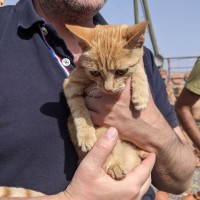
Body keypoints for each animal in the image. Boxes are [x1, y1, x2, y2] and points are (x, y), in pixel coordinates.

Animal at [0, 21, 148, 197]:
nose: (108, 89)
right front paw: (86, 135)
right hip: (103, 134)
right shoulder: (70, 85)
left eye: (121, 71)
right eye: (95, 72)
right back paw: (114, 165)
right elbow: (80, 112)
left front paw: (141, 95)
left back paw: (142, 152)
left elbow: (139, 69)